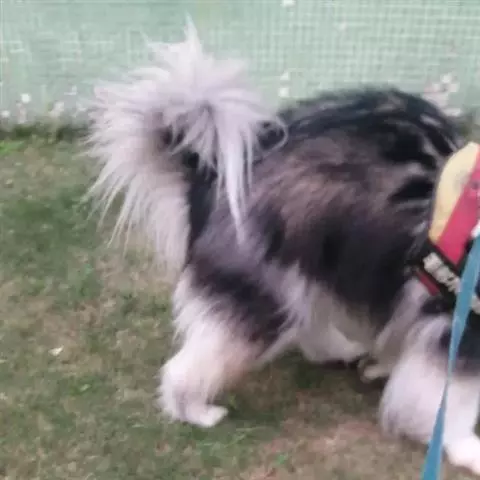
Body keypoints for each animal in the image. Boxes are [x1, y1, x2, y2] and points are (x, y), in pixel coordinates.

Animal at [87, 23, 480, 475]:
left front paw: (385, 365)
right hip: (266, 292)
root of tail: (209, 176)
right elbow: (452, 402)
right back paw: (193, 410)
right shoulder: (459, 323)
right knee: (192, 363)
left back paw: (343, 351)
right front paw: (466, 448)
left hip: (313, 265)